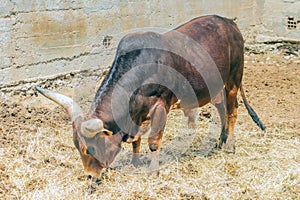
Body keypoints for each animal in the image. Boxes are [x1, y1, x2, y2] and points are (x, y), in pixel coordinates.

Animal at [35, 14, 264, 179]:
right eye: (77, 147)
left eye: (90, 149)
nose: (90, 176)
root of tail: (229, 23)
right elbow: (136, 140)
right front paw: (135, 163)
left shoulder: (161, 105)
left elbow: (153, 141)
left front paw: (154, 171)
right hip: (215, 86)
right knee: (222, 109)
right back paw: (219, 141)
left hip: (233, 80)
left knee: (233, 111)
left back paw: (230, 146)